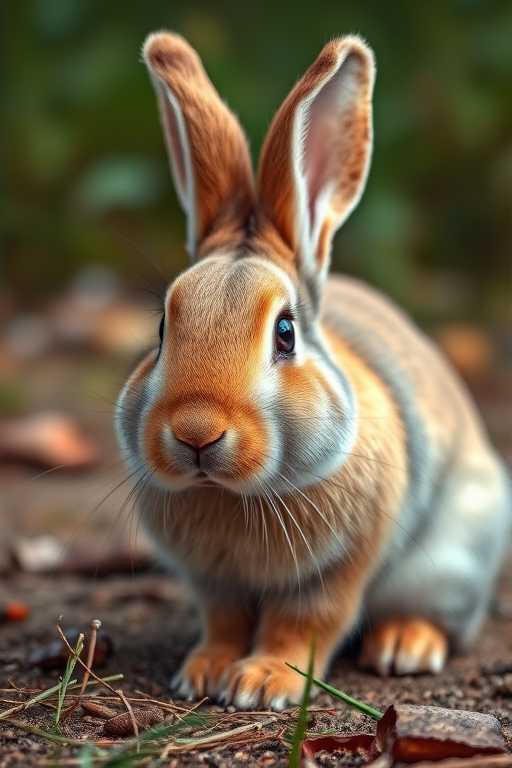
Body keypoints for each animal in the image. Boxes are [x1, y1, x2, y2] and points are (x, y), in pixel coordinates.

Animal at [116, 31, 511, 711]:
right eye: (163, 328)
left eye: (286, 332)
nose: (196, 432)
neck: (234, 494)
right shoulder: (215, 583)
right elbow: (223, 621)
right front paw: (204, 673)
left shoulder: (337, 570)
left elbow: (306, 623)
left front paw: (261, 683)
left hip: (454, 559)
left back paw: (405, 646)